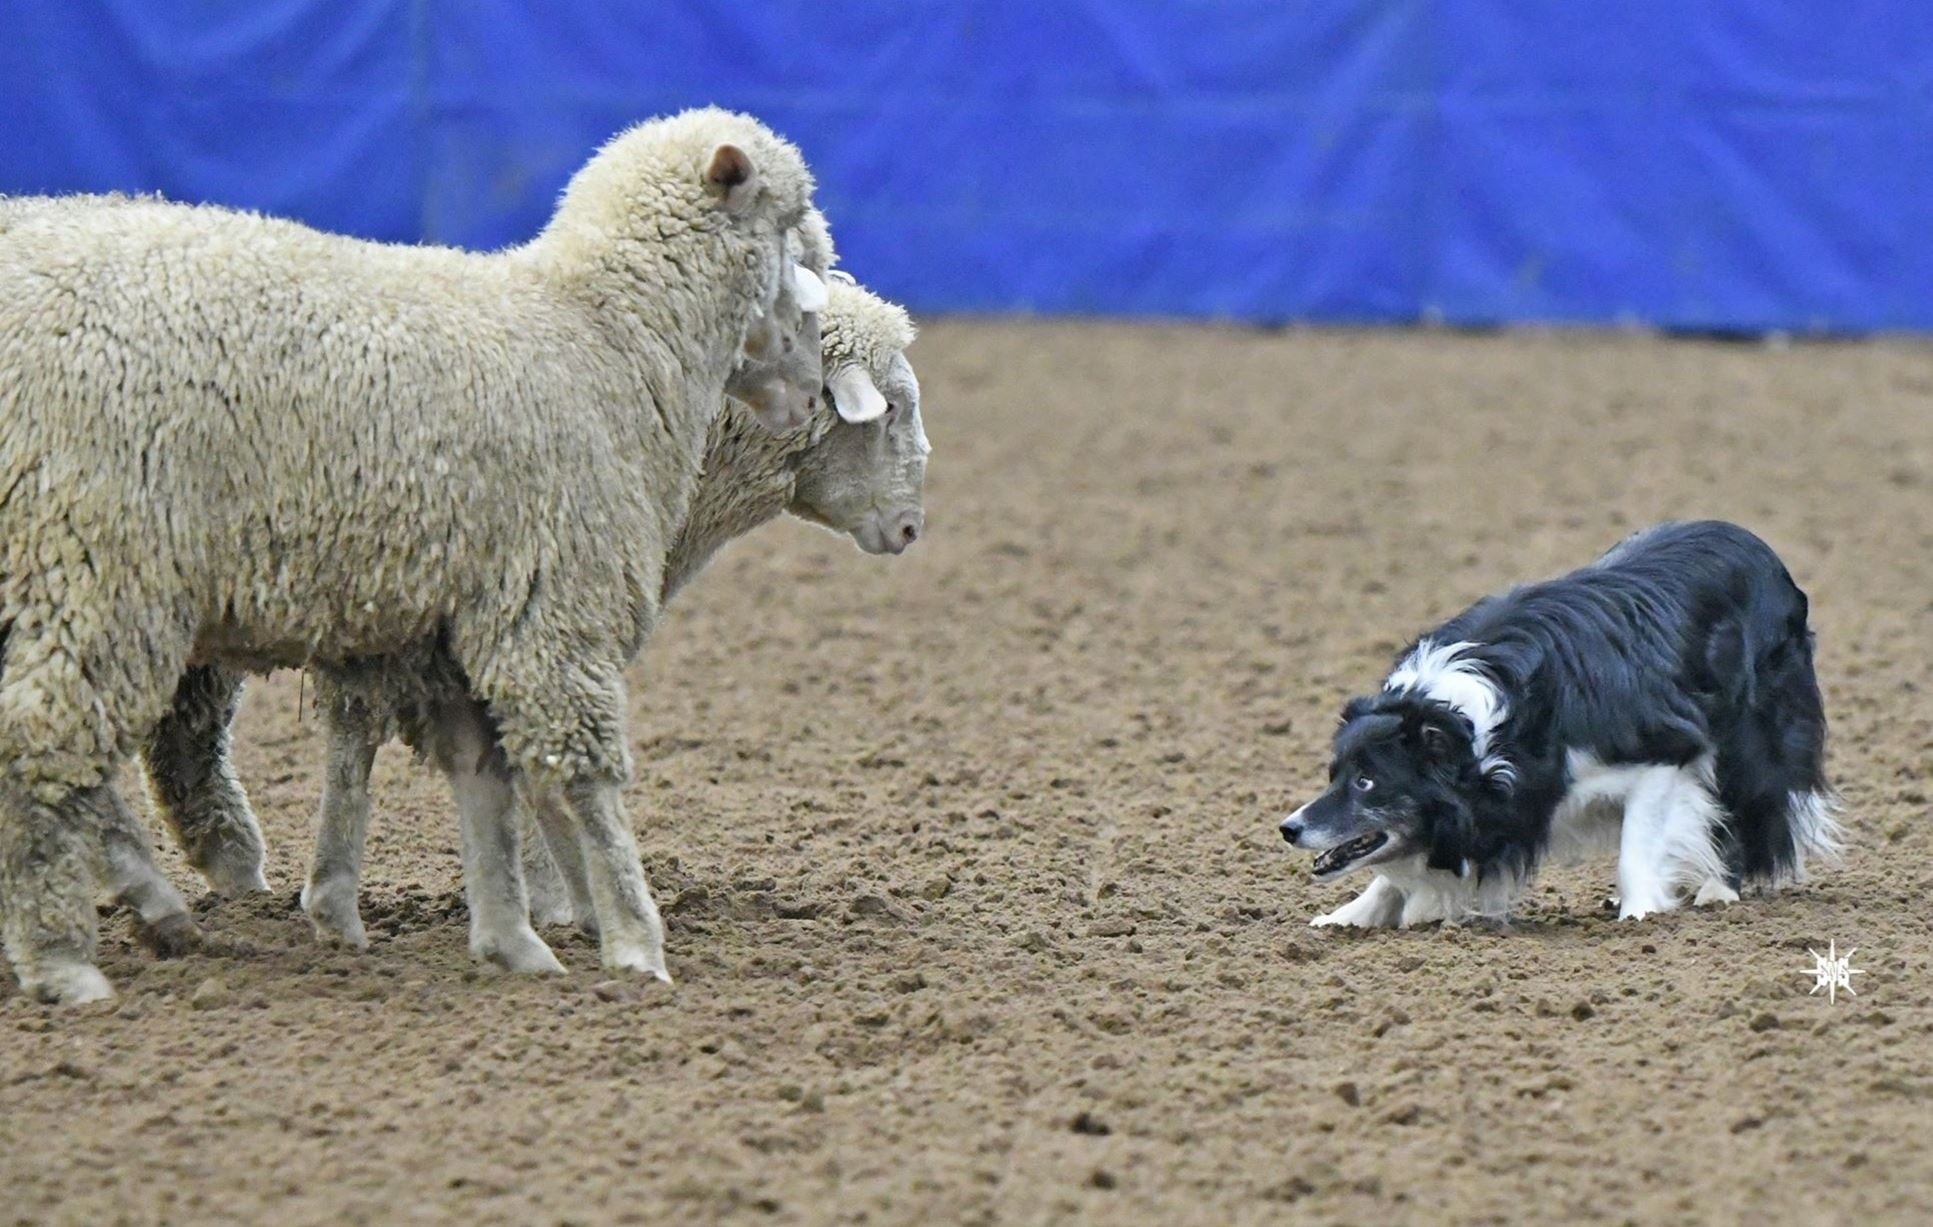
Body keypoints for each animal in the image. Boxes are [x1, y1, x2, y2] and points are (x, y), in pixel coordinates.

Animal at [0, 108, 823, 1004]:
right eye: (796, 240)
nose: (810, 392)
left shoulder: (465, 616)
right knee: (39, 741)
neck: (600, 336)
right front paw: (637, 942)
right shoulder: (551, 602)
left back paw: (141, 913)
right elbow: (584, 778)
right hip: (99, 560)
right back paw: (66, 958)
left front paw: (510, 937)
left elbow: (481, 775)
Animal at [1283, 521, 1840, 931]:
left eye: (1366, 782)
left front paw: (1640, 913)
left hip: (1752, 737)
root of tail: (1753, 542)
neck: (1471, 734)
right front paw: (1349, 917)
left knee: (1745, 807)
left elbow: (1637, 845)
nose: (1289, 828)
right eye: (1334, 775)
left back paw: (1719, 889)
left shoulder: (1665, 752)